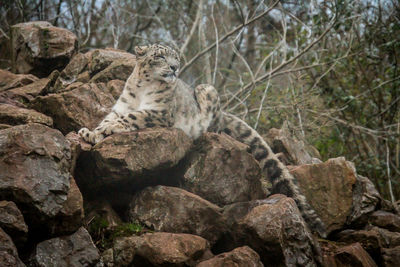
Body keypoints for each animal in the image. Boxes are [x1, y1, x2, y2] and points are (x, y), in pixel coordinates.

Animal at [79, 44, 326, 239]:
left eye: (176, 57)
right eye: (160, 56)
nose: (174, 68)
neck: (142, 89)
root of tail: (224, 113)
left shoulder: (159, 113)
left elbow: (131, 117)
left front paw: (106, 129)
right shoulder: (120, 106)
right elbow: (110, 117)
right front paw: (90, 132)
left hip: (206, 90)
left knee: (213, 124)